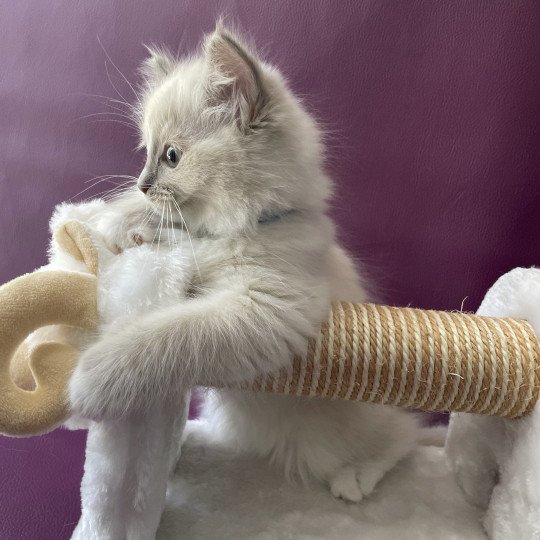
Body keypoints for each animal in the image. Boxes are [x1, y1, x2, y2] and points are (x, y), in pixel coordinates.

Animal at [67, 24, 420, 502]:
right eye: (145, 153)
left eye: (171, 156)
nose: (142, 184)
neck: (243, 227)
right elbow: (167, 226)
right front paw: (119, 220)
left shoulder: (265, 308)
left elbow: (167, 335)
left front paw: (89, 380)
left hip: (334, 440)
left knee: (405, 436)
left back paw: (355, 479)